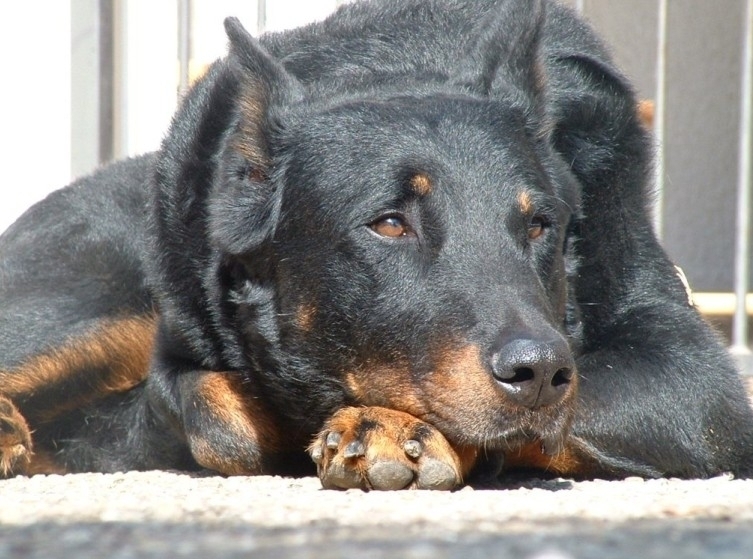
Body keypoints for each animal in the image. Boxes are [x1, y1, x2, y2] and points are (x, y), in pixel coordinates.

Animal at [1, 0, 752, 490]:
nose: (539, 371)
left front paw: (385, 427)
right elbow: (215, 414)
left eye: (541, 225)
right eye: (388, 223)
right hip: (89, 305)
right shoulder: (176, 344)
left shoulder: (691, 385)